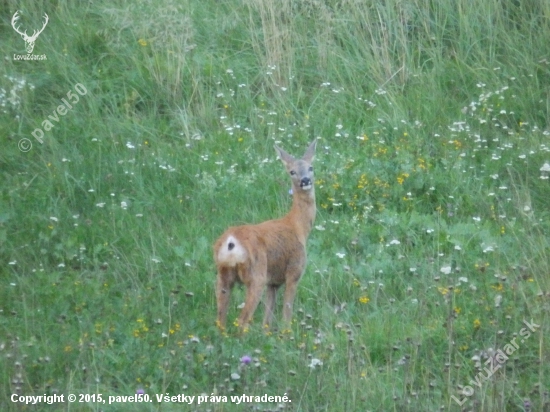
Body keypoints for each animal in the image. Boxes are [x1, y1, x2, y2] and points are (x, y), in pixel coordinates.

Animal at [216, 141, 320, 332]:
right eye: (292, 171)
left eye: (311, 167)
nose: (305, 181)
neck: (297, 226)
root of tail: (231, 242)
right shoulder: (294, 271)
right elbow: (286, 313)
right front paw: (287, 334)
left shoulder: (273, 282)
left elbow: (267, 317)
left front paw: (267, 334)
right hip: (256, 274)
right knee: (242, 320)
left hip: (223, 275)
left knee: (220, 319)